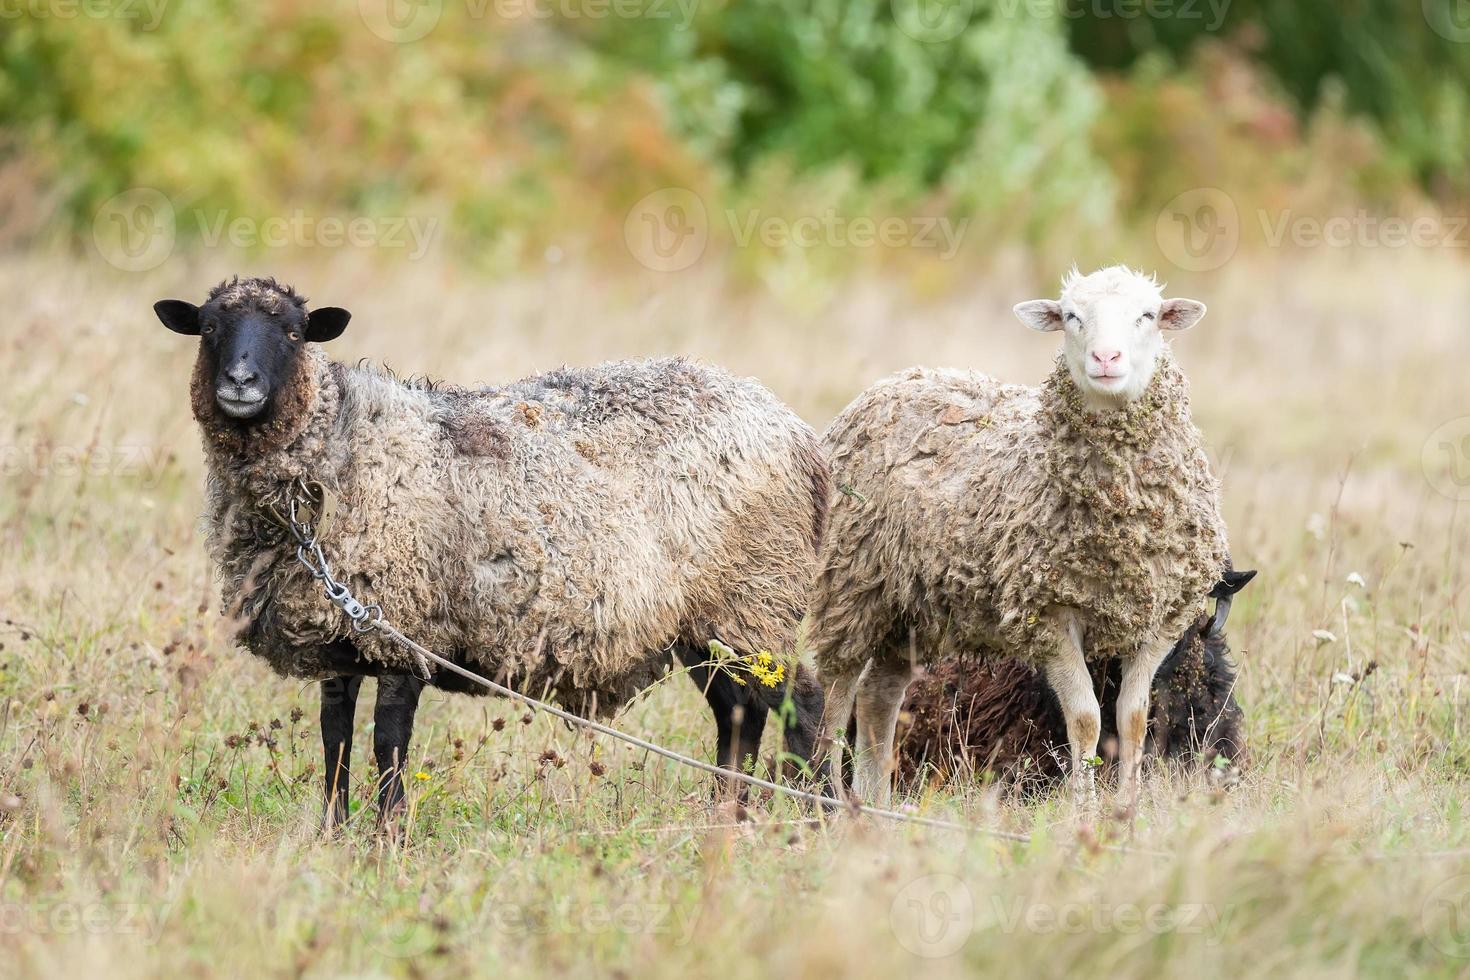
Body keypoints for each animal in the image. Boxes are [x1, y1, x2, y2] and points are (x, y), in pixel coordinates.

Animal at [159, 276, 834, 828]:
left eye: (294, 332)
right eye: (210, 327)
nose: (240, 383)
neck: (339, 451)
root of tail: (797, 433)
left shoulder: (407, 625)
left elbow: (388, 741)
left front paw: (388, 838)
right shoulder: (342, 640)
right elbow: (336, 739)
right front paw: (332, 834)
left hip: (755, 596)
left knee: (802, 705)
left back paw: (818, 815)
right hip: (706, 622)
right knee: (738, 715)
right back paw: (727, 816)